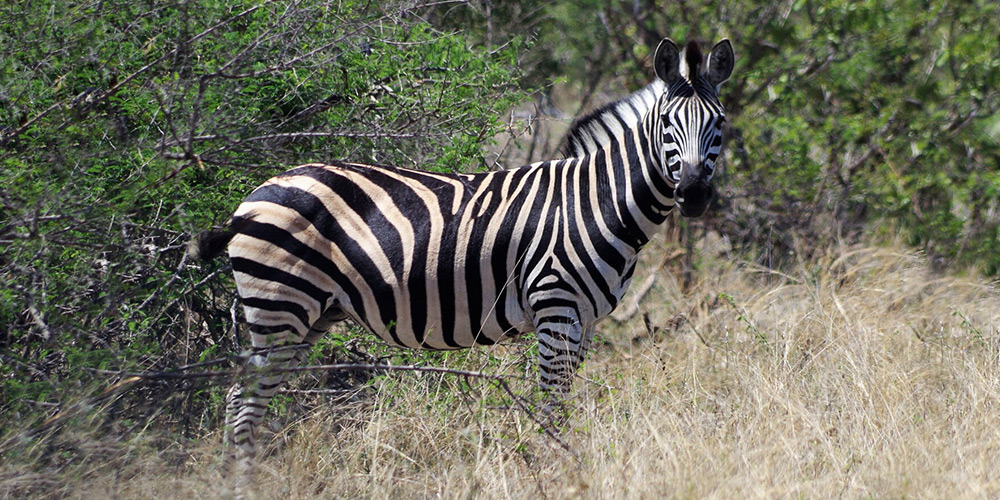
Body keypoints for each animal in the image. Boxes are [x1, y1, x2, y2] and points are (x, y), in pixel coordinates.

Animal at [191, 37, 736, 474]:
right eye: (666, 125)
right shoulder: (556, 308)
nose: (693, 194)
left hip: (309, 315)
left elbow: (564, 405)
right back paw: (240, 484)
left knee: (246, 398)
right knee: (242, 401)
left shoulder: (585, 319)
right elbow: (551, 407)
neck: (596, 202)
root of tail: (254, 194)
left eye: (720, 123)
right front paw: (552, 471)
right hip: (278, 306)